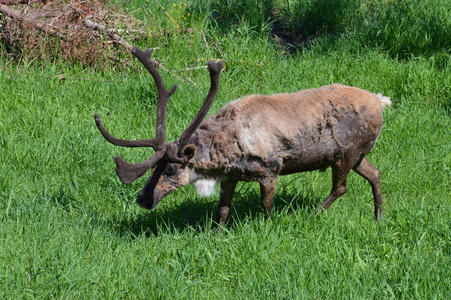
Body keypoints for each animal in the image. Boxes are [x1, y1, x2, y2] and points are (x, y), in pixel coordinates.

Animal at [95, 46, 392, 225]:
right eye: (152, 169)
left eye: (170, 170)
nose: (143, 200)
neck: (224, 150)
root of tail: (381, 101)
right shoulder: (229, 177)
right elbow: (222, 211)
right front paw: (216, 235)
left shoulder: (270, 169)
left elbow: (266, 206)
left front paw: (272, 225)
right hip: (356, 155)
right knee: (375, 173)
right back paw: (379, 216)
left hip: (346, 153)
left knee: (340, 187)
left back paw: (311, 216)